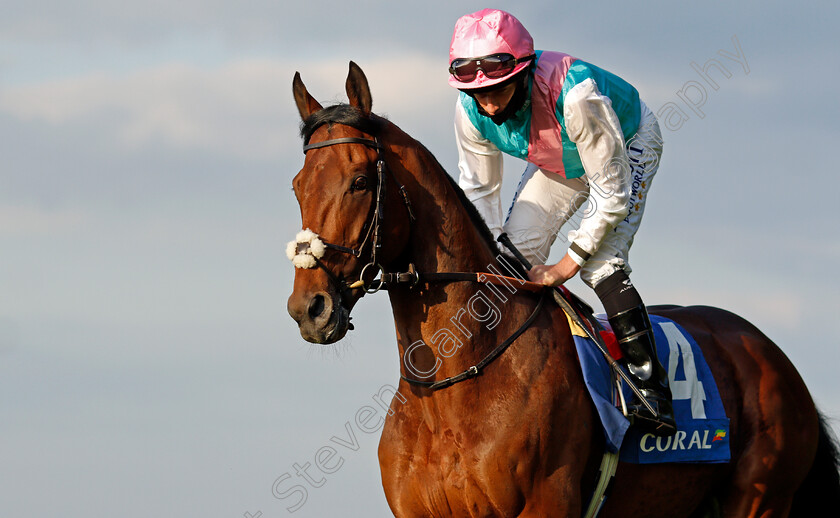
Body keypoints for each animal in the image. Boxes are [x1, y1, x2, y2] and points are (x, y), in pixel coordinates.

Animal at [286, 63, 836, 516]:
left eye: (360, 181)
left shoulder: (544, 503)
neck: (452, 384)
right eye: (296, 185)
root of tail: (771, 354)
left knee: (609, 253)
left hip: (761, 498)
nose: (308, 308)